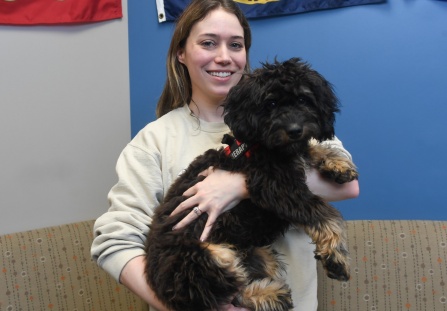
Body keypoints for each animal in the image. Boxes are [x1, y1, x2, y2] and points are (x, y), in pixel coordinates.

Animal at [145, 57, 358, 310]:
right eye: (271, 103)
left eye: (303, 99)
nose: (294, 130)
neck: (260, 146)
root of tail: (158, 284)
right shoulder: (275, 186)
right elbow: (324, 214)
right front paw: (336, 255)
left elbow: (309, 148)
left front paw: (337, 163)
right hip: (205, 258)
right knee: (225, 291)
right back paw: (269, 295)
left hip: (258, 252)